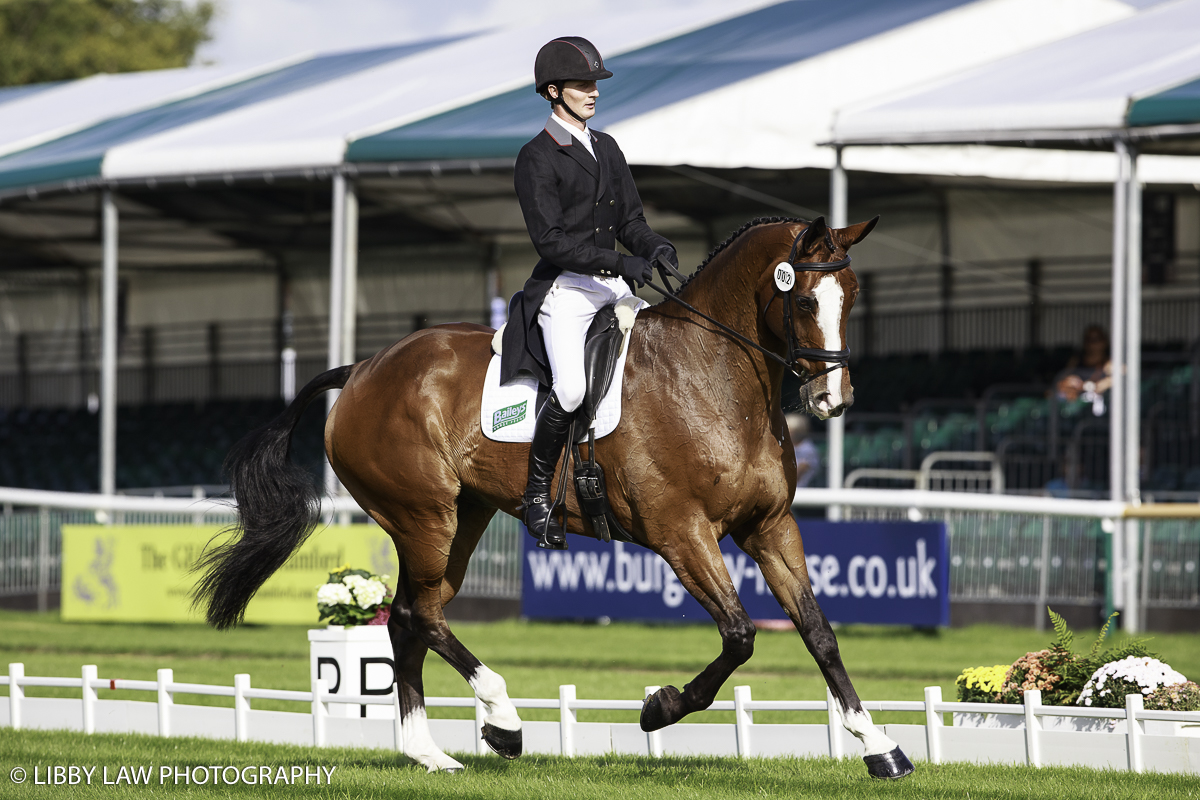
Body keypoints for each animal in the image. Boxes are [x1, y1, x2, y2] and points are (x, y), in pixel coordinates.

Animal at [192, 211, 912, 777]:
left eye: (851, 295)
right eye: (804, 302)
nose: (833, 398)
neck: (712, 378)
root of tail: (365, 367)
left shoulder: (770, 525)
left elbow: (819, 632)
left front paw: (878, 745)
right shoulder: (681, 533)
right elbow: (739, 635)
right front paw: (658, 709)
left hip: (464, 517)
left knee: (408, 618)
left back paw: (431, 751)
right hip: (423, 516)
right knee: (420, 616)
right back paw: (501, 719)